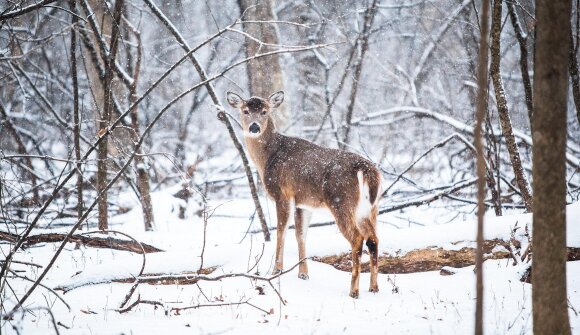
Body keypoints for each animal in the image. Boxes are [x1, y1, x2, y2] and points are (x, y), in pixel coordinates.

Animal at [229, 90, 382, 298]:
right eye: (245, 110)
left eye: (264, 111)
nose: (254, 127)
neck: (268, 157)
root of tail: (366, 170)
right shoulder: (303, 202)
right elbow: (301, 234)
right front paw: (303, 274)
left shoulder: (282, 194)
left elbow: (281, 231)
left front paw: (276, 270)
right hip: (370, 209)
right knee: (373, 239)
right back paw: (374, 288)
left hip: (341, 201)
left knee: (358, 238)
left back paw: (354, 291)